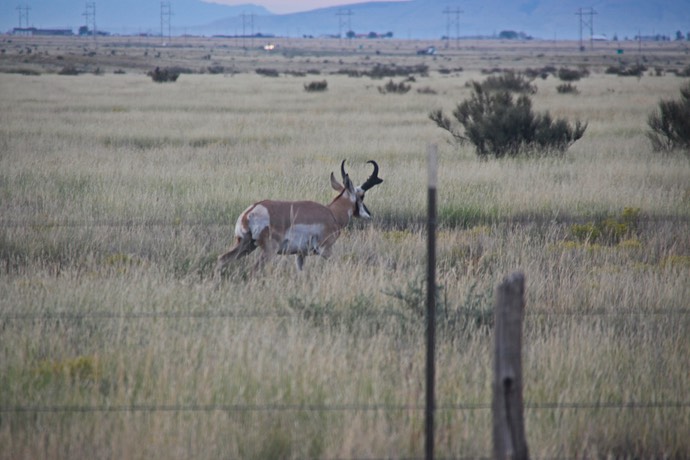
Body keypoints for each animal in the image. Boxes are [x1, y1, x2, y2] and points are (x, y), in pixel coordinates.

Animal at [214, 160, 382, 274]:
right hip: (267, 250)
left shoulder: (300, 255)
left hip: (246, 245)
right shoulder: (325, 250)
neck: (331, 213)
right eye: (362, 195)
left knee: (222, 259)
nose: (369, 215)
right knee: (254, 269)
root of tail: (249, 212)